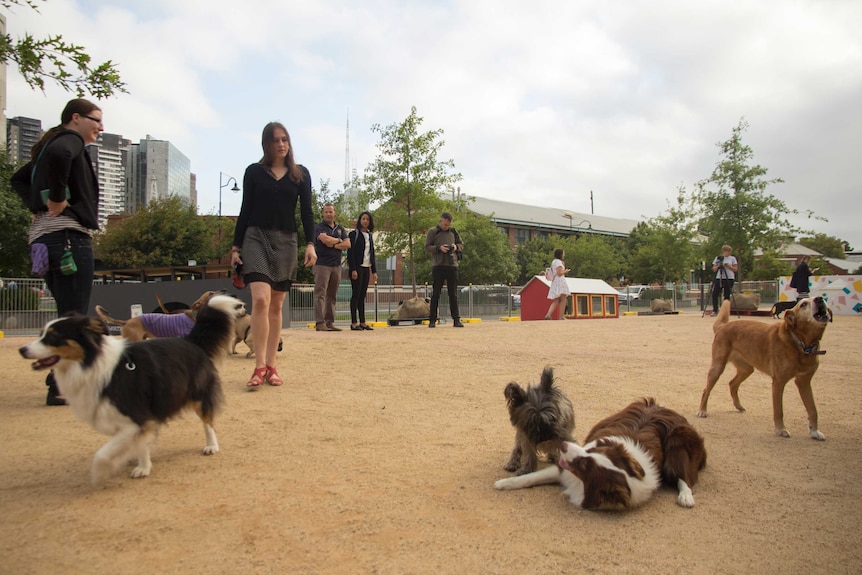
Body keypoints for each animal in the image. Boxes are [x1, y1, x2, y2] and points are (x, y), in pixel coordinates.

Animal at [496, 398, 704, 510]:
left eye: (585, 466)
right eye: (593, 450)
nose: (563, 445)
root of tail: (661, 406)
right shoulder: (562, 467)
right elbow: (529, 478)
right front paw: (503, 483)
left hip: (677, 441)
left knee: (684, 476)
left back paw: (686, 497)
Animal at [700, 296, 832, 440]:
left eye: (822, 299)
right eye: (803, 304)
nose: (820, 299)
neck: (800, 343)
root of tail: (723, 326)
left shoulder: (804, 382)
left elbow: (813, 409)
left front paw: (814, 431)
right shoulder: (779, 382)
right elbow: (779, 410)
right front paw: (780, 430)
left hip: (747, 369)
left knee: (732, 383)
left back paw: (738, 406)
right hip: (717, 367)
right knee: (706, 390)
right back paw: (702, 410)